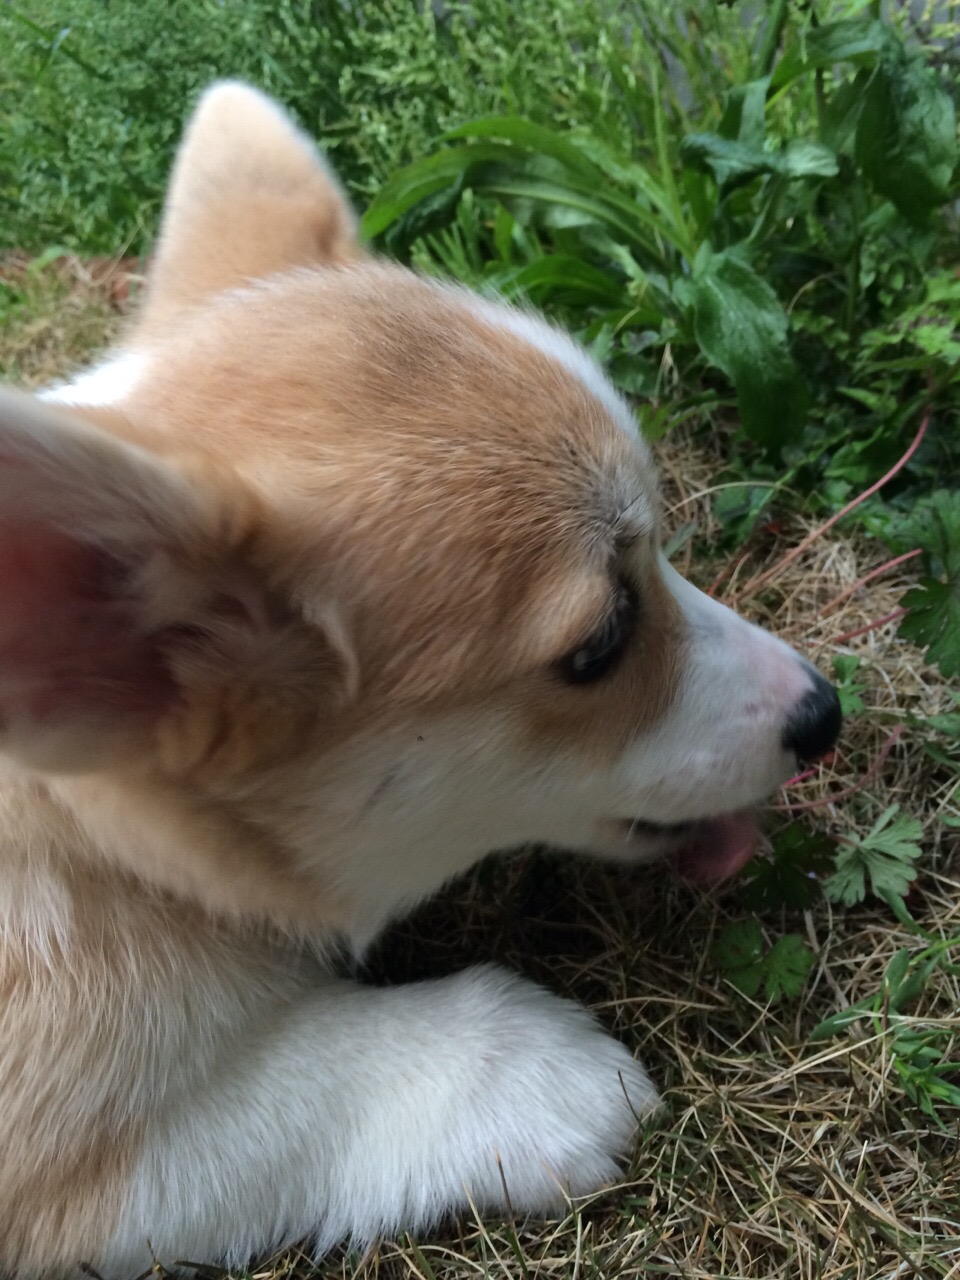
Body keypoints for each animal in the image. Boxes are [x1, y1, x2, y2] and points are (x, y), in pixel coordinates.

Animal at [0, 83, 840, 1276]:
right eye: (600, 642)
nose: (826, 712)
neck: (98, 838)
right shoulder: (80, 1171)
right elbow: (274, 1104)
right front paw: (540, 1075)